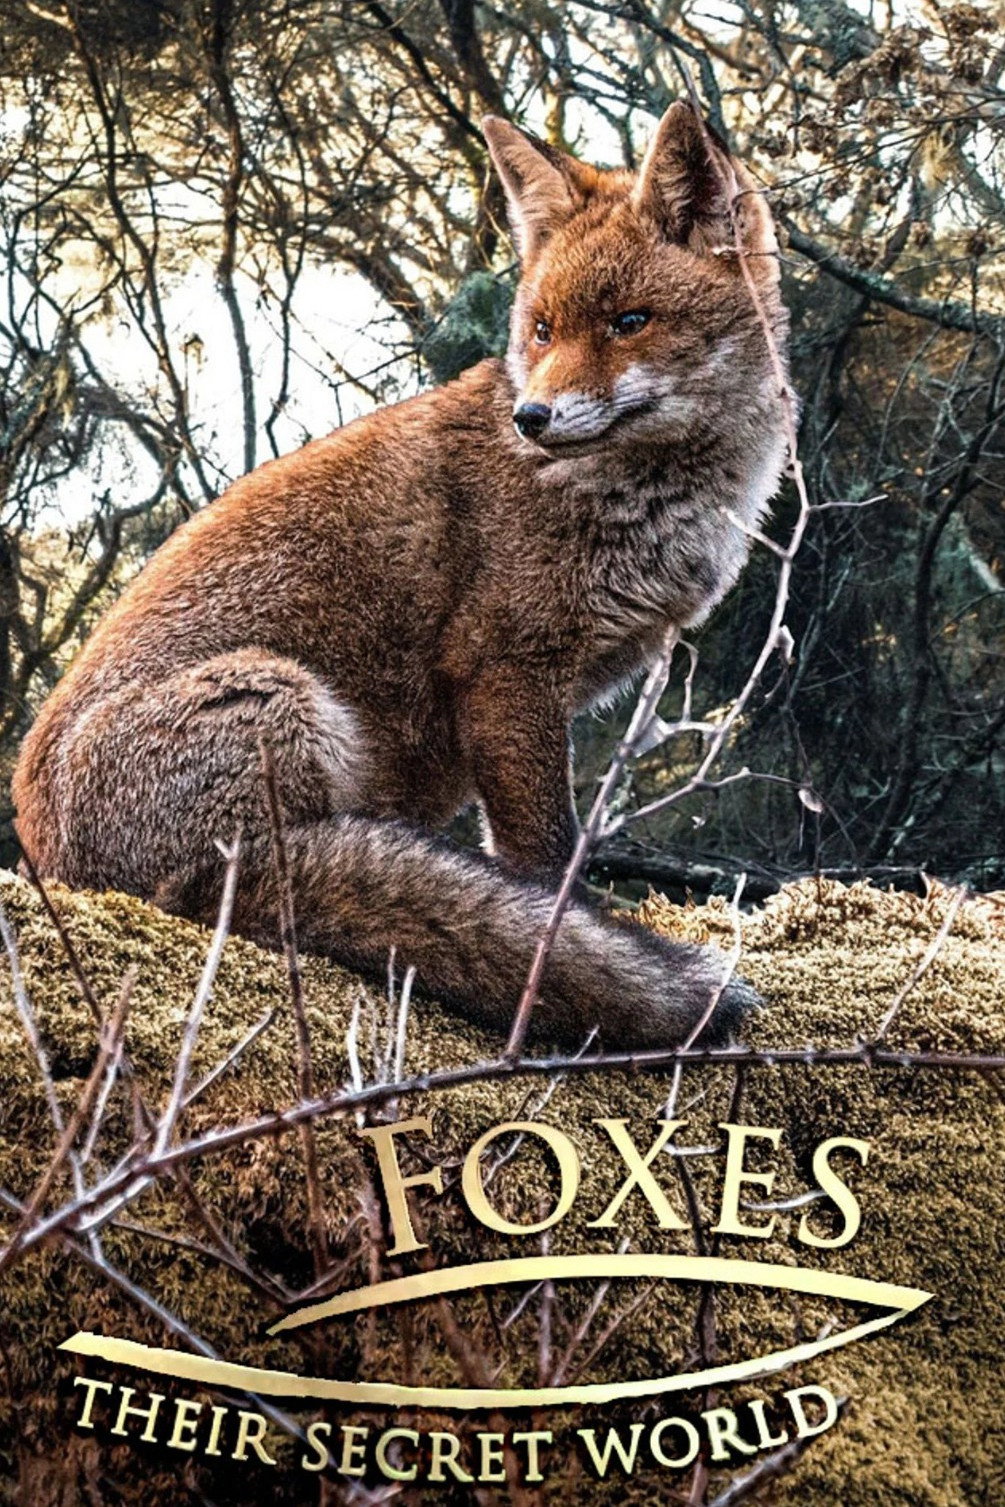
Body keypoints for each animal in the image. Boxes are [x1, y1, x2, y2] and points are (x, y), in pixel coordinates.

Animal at [12, 101, 788, 1051]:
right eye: (541, 331)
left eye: (629, 321)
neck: (645, 499)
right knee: (242, 889)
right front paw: (565, 938)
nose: (532, 417)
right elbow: (545, 856)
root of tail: (53, 860)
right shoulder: (505, 673)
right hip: (281, 701)